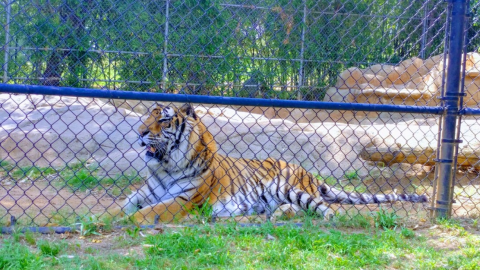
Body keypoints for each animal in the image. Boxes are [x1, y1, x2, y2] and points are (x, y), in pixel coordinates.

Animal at [110, 102, 430, 225]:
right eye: (147, 116)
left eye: (163, 120)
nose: (139, 132)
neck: (166, 165)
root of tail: (306, 172)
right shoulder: (143, 193)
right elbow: (121, 206)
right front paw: (105, 219)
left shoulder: (184, 200)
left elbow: (146, 213)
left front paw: (126, 222)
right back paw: (269, 215)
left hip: (288, 188)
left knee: (324, 210)